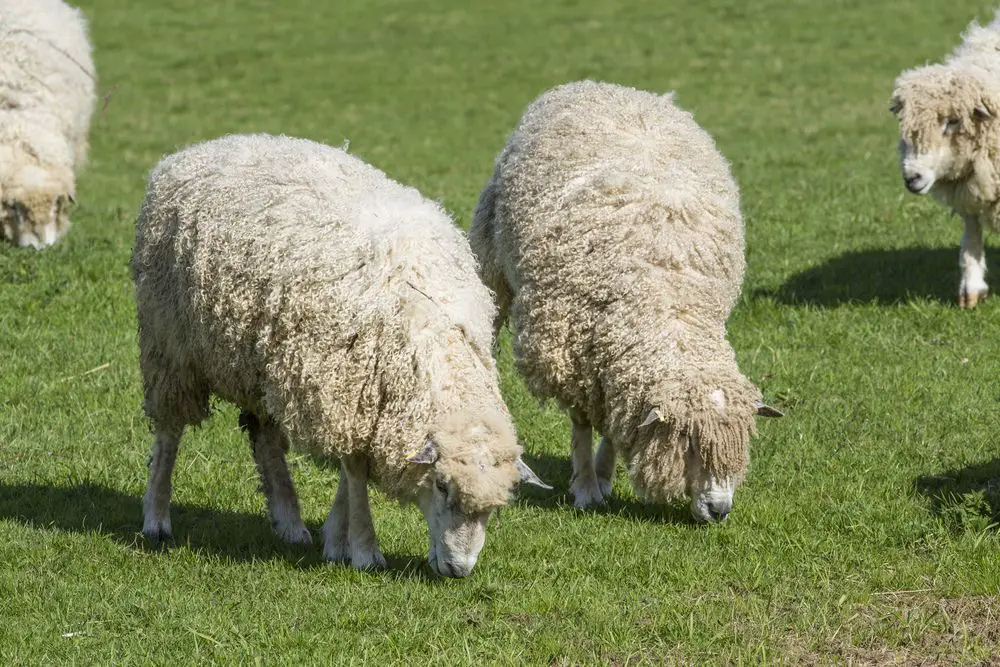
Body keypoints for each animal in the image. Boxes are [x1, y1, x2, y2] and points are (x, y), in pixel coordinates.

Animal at [131, 132, 548, 580]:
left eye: (493, 509)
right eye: (441, 485)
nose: (459, 569)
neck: (428, 333)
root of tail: (200, 149)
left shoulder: (360, 395)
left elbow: (350, 473)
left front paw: (335, 537)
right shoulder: (345, 389)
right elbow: (356, 471)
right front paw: (364, 549)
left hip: (256, 363)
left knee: (264, 438)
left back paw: (290, 522)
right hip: (169, 345)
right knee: (169, 432)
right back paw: (156, 517)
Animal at [468, 82, 780, 520]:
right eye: (690, 445)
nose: (719, 510)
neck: (668, 303)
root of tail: (597, 86)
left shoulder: (614, 359)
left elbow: (617, 422)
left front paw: (604, 475)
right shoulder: (570, 351)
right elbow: (582, 423)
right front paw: (585, 486)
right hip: (491, 255)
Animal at [892, 9, 1000, 310]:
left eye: (952, 122)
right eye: (906, 128)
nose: (912, 178)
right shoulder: (971, 188)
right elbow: (970, 239)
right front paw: (971, 290)